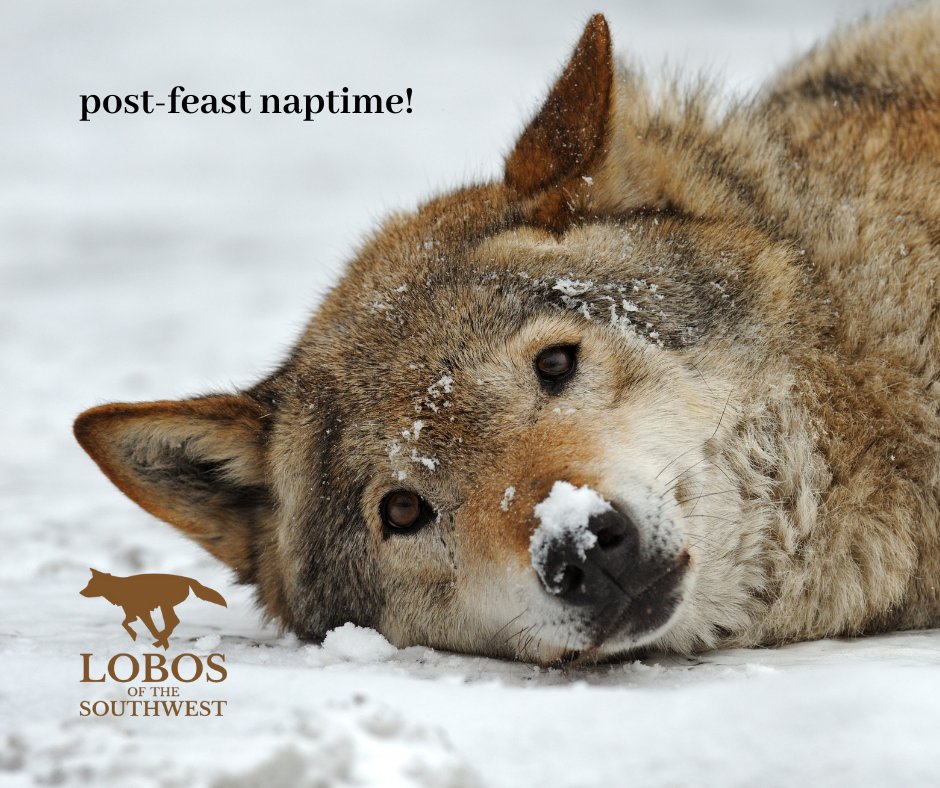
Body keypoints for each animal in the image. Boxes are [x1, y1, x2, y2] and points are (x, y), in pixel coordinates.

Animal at [80, 568, 227, 649]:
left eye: (91, 584)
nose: (81, 592)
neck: (118, 589)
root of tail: (188, 579)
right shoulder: (132, 614)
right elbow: (125, 623)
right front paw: (134, 636)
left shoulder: (144, 613)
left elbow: (151, 629)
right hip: (165, 606)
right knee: (173, 622)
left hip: (165, 605)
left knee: (173, 622)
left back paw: (160, 642)